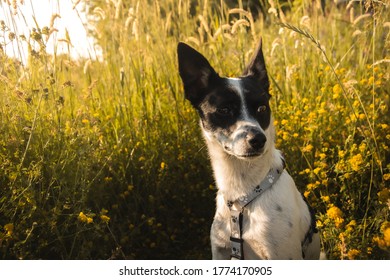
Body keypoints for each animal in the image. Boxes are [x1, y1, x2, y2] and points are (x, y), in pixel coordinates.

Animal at [177, 39, 320, 260]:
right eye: (224, 110)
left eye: (262, 108)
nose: (258, 139)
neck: (242, 193)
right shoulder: (221, 250)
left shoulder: (282, 254)